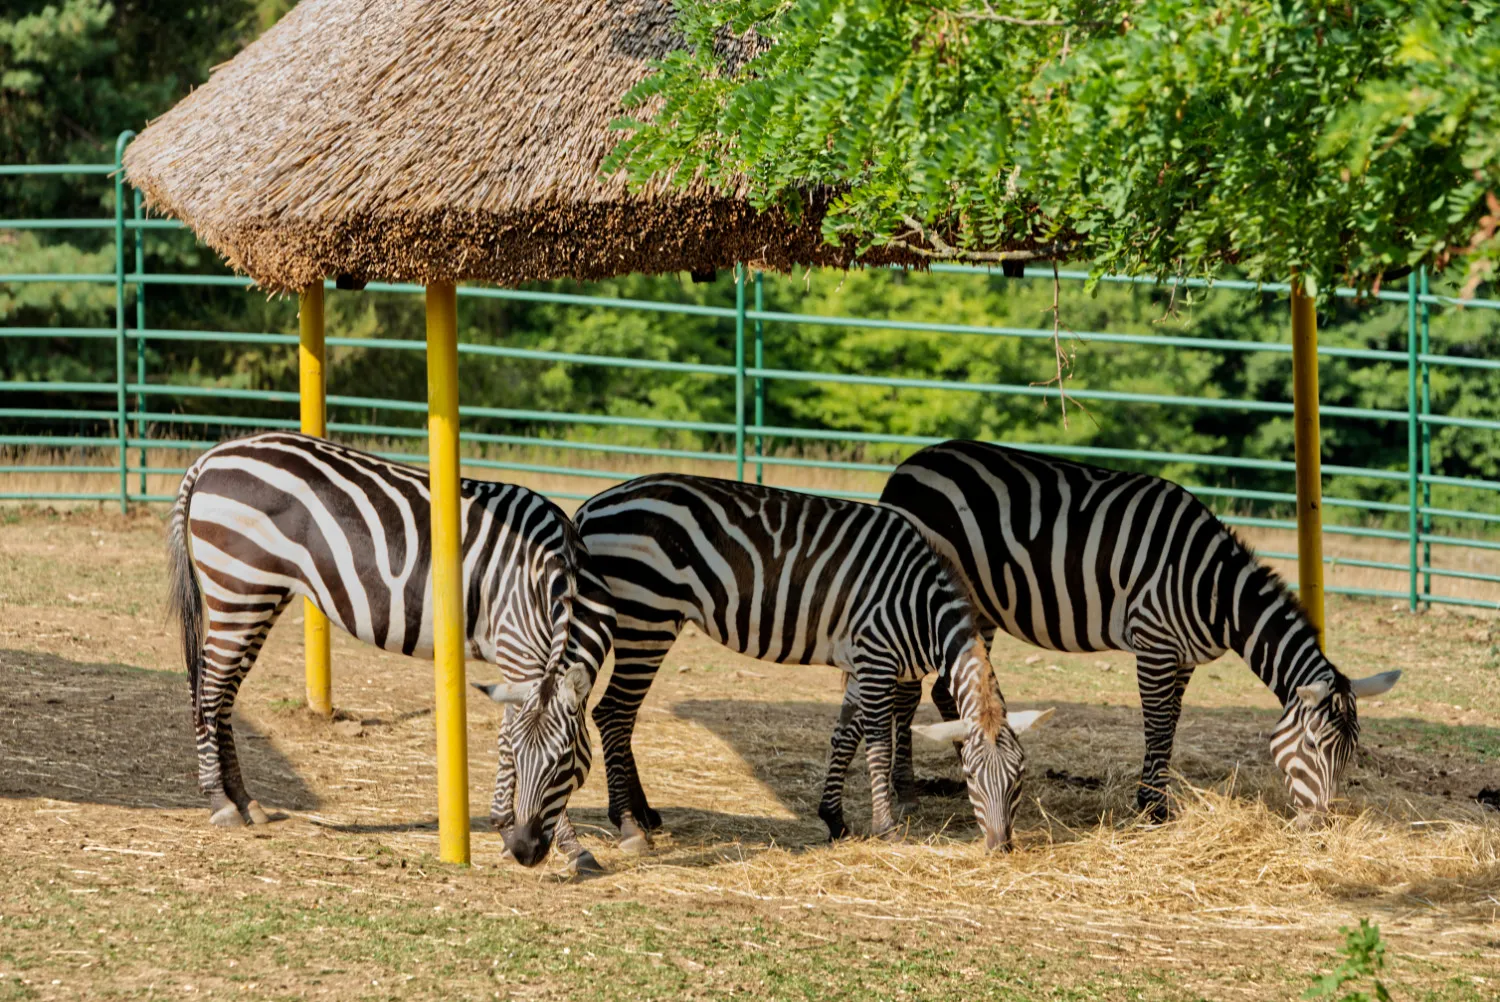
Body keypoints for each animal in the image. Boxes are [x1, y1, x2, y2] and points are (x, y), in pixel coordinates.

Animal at [164, 432, 609, 870]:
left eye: (564, 759)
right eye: (532, 759)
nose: (525, 851)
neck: (556, 575)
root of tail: (211, 457)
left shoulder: (523, 663)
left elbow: (508, 727)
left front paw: (507, 826)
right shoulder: (517, 646)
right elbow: (511, 732)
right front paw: (566, 844)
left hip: (261, 596)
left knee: (223, 690)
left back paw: (243, 800)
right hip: (240, 588)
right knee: (209, 690)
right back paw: (220, 802)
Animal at [573, 474, 1056, 852]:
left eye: (1019, 777)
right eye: (970, 776)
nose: (1000, 848)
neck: (920, 608)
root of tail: (590, 505)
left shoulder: (861, 663)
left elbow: (844, 737)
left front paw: (834, 819)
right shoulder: (875, 658)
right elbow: (877, 745)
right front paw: (886, 829)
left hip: (645, 621)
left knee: (620, 715)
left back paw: (643, 814)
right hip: (646, 616)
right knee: (613, 713)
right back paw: (629, 826)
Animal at [876, 441, 1404, 816]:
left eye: (1352, 751)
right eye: (1313, 745)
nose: (1323, 823)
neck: (1215, 591)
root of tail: (908, 465)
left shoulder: (1185, 658)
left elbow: (1171, 723)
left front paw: (1153, 801)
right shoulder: (1155, 644)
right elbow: (1156, 725)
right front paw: (1152, 807)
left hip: (979, 607)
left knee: (943, 688)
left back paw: (965, 755)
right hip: (925, 591)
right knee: (908, 694)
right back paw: (907, 791)